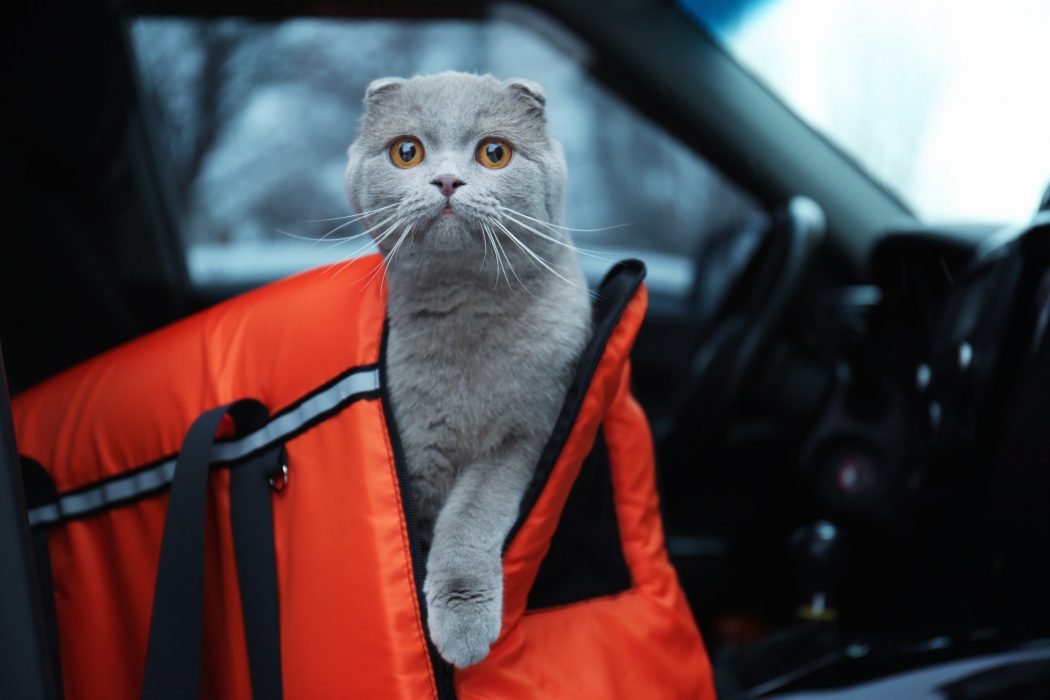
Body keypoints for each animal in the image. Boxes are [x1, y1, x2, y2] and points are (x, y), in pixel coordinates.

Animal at [342, 73, 592, 671]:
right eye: (406, 152)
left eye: (494, 153)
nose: (448, 180)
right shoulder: (413, 450)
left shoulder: (524, 435)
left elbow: (470, 516)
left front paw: (461, 622)